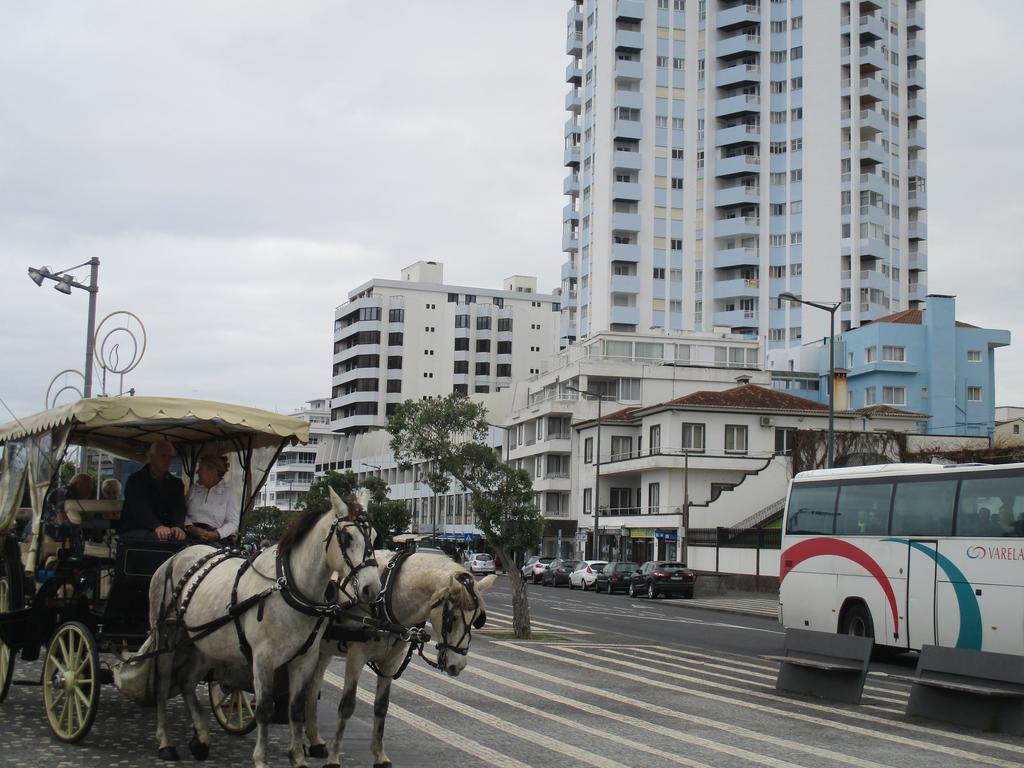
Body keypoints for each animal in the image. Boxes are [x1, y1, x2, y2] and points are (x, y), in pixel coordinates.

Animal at [148, 489, 380, 768]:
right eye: (347, 537)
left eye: (375, 537)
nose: (372, 589)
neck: (290, 588)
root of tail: (179, 555)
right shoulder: (263, 659)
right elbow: (264, 709)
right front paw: (261, 758)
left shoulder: (304, 659)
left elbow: (296, 709)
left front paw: (298, 758)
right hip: (166, 634)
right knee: (162, 683)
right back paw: (165, 741)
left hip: (205, 641)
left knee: (186, 680)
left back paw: (201, 738)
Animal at [303, 552, 495, 768]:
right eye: (451, 618)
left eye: (477, 619)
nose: (458, 665)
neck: (386, 598)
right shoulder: (356, 656)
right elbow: (347, 705)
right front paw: (335, 757)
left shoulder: (391, 661)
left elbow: (381, 706)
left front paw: (380, 756)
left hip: (323, 651)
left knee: (312, 688)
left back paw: (315, 741)